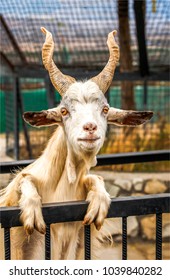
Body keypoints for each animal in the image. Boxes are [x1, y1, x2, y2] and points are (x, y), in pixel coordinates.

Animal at [0, 27, 153, 260]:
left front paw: (99, 202)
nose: (90, 128)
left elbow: (96, 178)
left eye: (105, 109)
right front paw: (32, 211)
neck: (64, 187)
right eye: (64, 111)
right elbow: (24, 179)